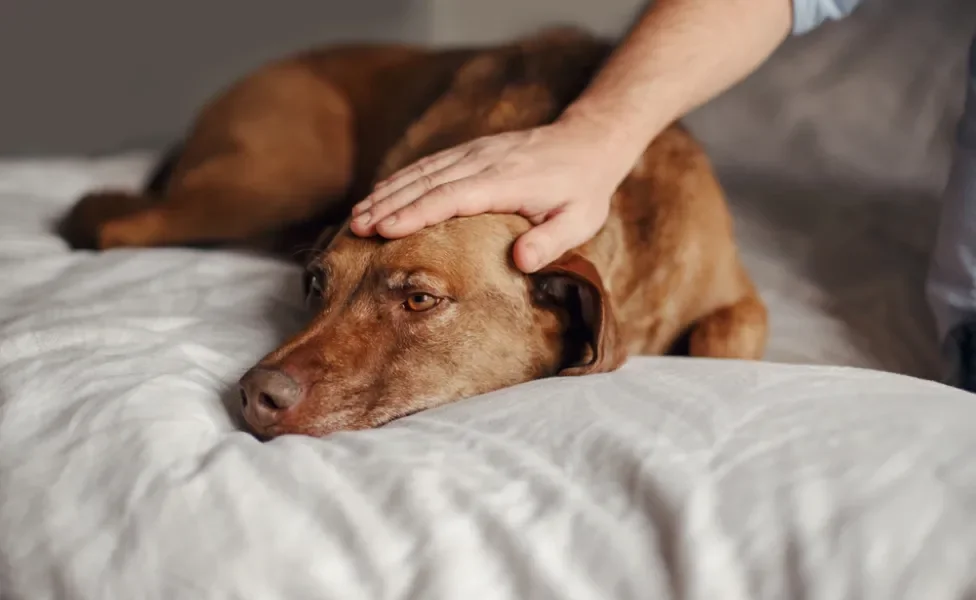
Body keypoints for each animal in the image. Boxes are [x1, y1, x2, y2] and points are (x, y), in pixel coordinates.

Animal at [61, 28, 768, 438]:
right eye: (314, 285)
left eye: (421, 299)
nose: (255, 394)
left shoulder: (738, 298)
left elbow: (726, 335)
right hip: (278, 177)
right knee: (113, 221)